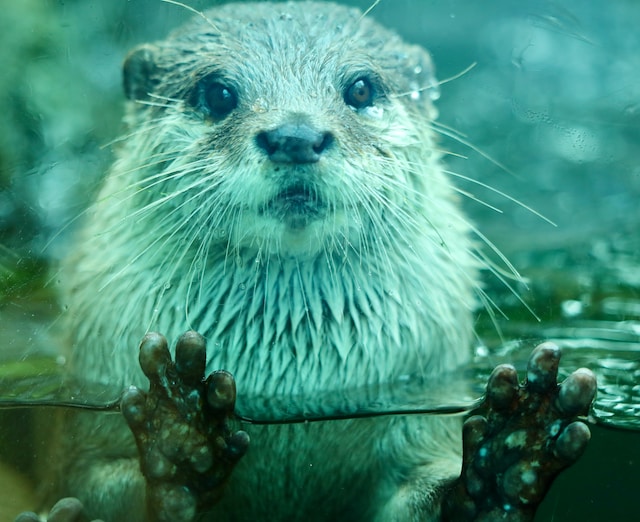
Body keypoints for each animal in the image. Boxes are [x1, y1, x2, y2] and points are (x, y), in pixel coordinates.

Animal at [20, 2, 595, 521]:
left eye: (360, 89)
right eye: (218, 92)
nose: (294, 135)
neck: (297, 390)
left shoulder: (419, 420)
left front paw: (509, 458)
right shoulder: (79, 443)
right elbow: (90, 491)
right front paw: (179, 442)